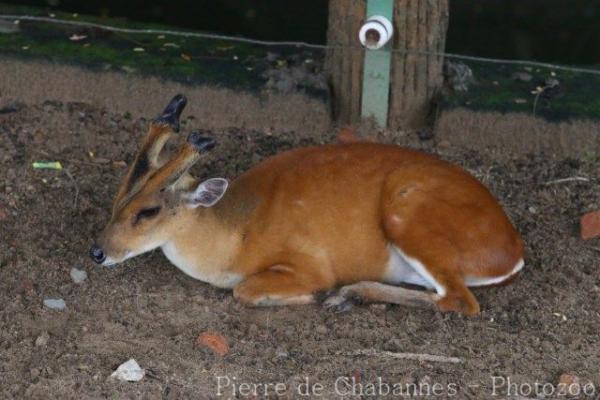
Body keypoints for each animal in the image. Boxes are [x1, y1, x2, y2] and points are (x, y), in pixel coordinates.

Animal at [90, 94, 524, 316]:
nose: (98, 252)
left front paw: (317, 295)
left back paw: (344, 295)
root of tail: (512, 253)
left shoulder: (307, 261)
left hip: (408, 216)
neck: (236, 235)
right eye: (117, 198)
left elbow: (244, 291)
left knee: (461, 300)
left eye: (148, 211)